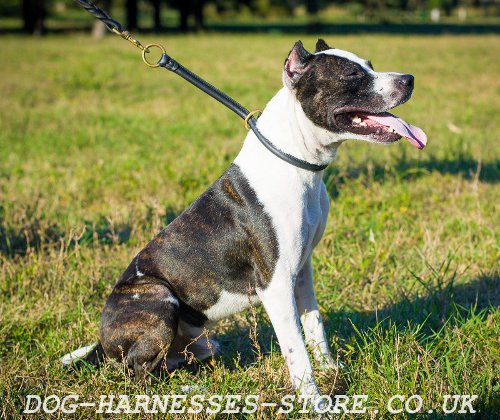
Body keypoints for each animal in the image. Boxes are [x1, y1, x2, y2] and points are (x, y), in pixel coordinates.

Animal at [62, 39, 426, 404]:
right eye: (351, 74)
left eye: (370, 64)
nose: (409, 79)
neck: (296, 160)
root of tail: (101, 343)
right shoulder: (275, 284)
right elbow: (296, 349)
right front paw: (315, 402)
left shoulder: (303, 271)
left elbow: (314, 326)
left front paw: (331, 370)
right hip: (158, 298)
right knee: (137, 375)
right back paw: (188, 390)